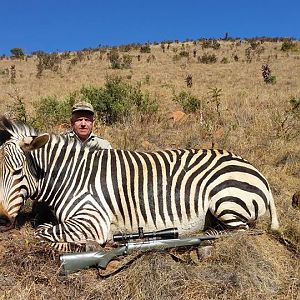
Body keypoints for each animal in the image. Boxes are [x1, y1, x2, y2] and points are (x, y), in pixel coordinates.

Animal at [0, 117, 278, 251]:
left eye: (17, 172)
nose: (2, 220)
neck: (72, 176)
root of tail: (258, 172)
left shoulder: (92, 220)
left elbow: (42, 232)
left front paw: (84, 246)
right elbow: (43, 228)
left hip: (225, 201)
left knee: (239, 232)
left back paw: (205, 236)